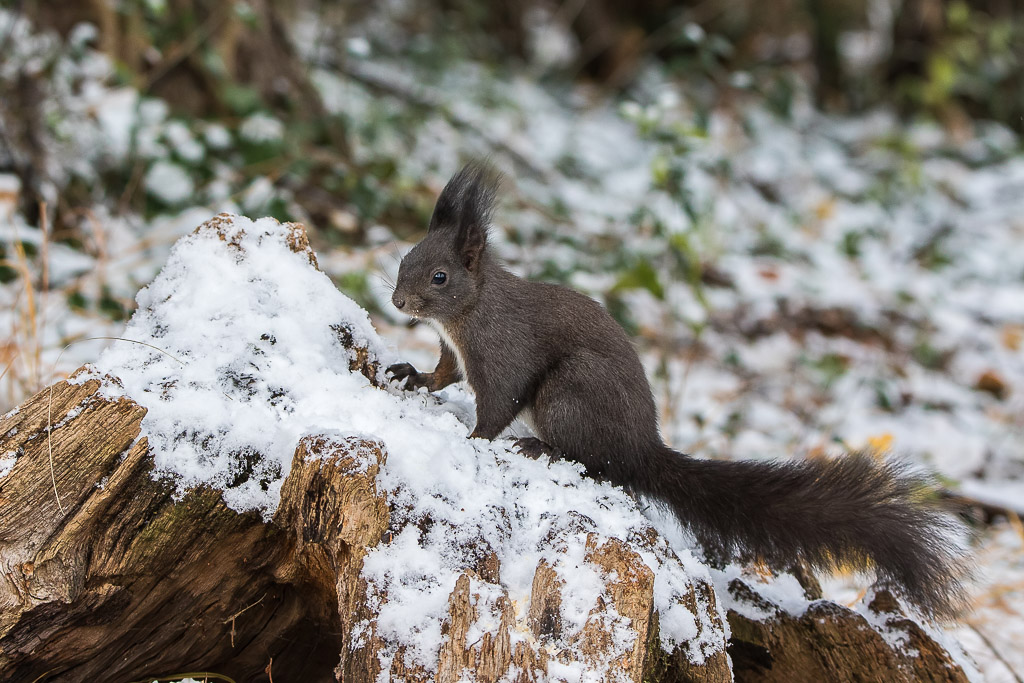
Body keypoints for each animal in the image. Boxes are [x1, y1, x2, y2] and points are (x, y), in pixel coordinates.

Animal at [385, 160, 966, 618]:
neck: (469, 313)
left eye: (439, 277)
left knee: (598, 462)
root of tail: (643, 448)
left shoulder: (503, 352)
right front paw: (412, 377)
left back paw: (543, 448)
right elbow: (443, 375)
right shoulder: (455, 353)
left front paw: (475, 440)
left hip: (570, 395)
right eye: (405, 257)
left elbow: (498, 403)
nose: (397, 301)